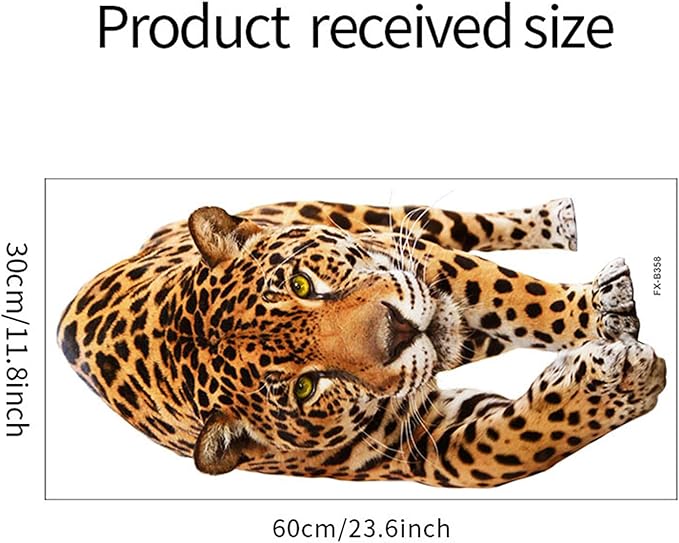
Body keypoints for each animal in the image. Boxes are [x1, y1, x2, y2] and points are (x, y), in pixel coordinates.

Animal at [57, 198, 665, 487]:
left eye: (303, 285)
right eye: (305, 387)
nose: (398, 330)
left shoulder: (403, 257)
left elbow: (509, 291)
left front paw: (600, 313)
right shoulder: (429, 447)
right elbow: (515, 444)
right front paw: (622, 378)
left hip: (368, 215)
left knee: (457, 222)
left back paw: (558, 219)